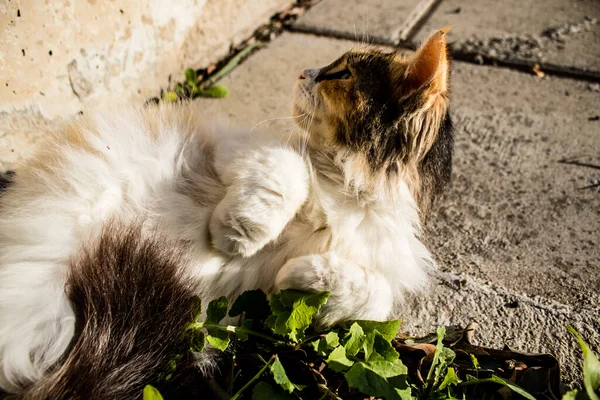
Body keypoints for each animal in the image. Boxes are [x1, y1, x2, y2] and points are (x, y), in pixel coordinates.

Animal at [0, 27, 452, 396]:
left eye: (341, 75)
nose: (302, 72)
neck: (349, 186)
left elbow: (375, 297)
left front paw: (304, 277)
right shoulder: (232, 145)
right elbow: (288, 169)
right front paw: (238, 236)